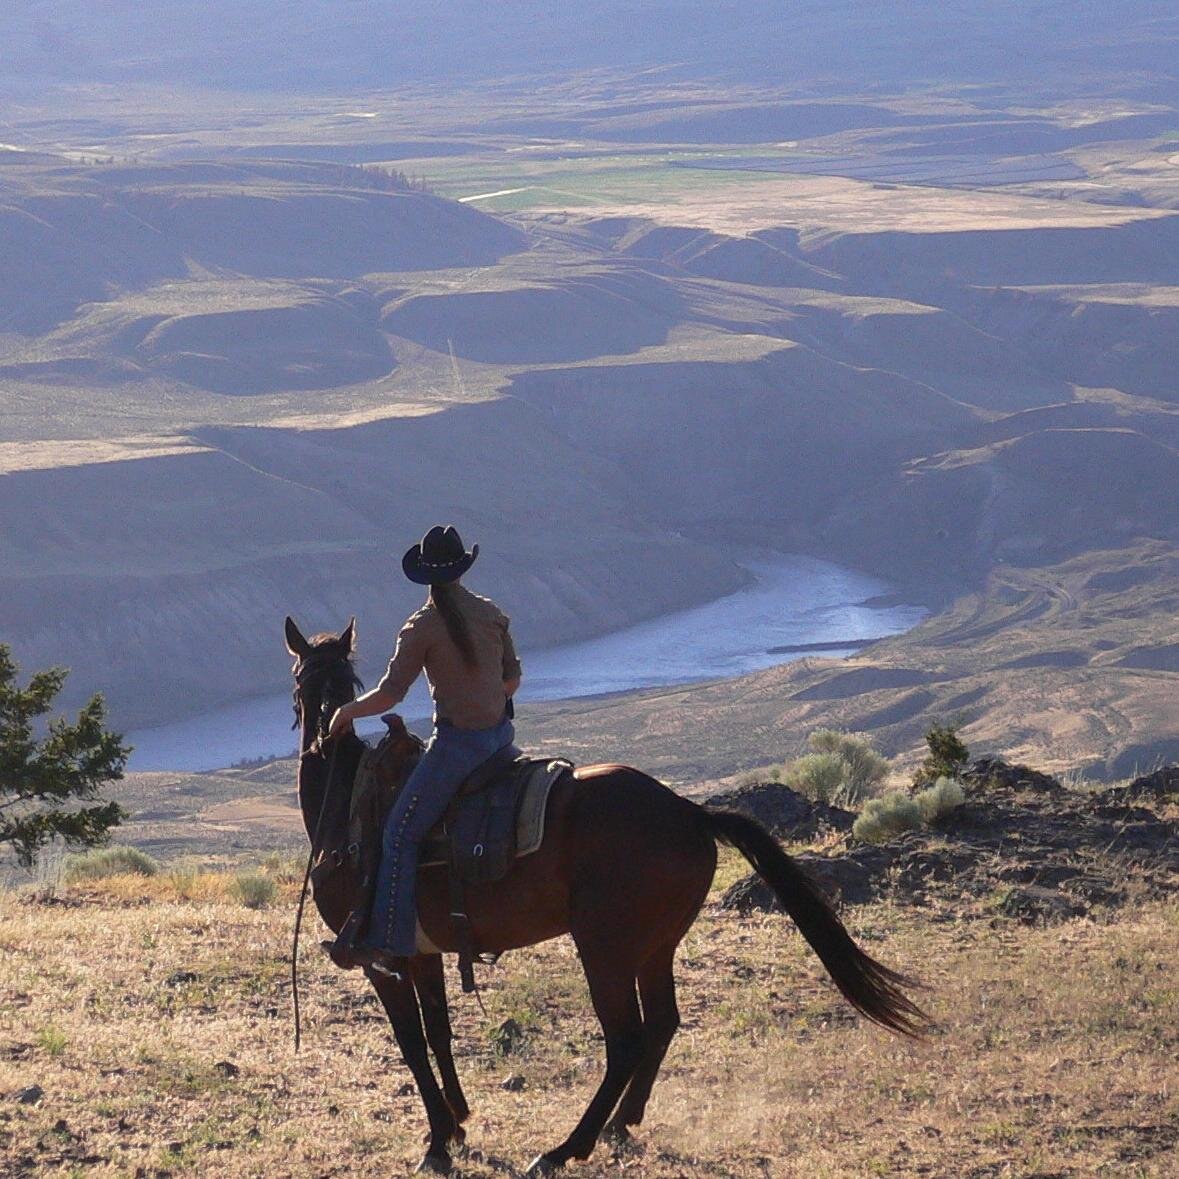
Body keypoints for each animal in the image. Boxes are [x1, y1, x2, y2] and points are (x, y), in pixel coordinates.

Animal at [285, 622, 929, 1174]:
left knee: (625, 1040)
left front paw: (440, 1142)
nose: (320, 731)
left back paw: (565, 1149)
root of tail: (688, 812)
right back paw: (622, 1124)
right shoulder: (420, 953)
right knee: (663, 1023)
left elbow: (413, 1043)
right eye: (307, 679)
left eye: (339, 682)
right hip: (654, 946)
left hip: (605, 948)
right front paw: (458, 1123)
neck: (345, 803)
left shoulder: (380, 960)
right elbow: (439, 1033)